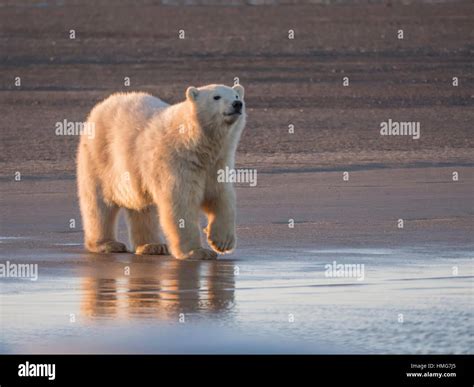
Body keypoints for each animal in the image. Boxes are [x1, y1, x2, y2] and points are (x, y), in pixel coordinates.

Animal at [76, 84, 246, 260]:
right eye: (216, 97)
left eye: (236, 96)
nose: (237, 104)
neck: (194, 144)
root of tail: (102, 105)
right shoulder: (177, 163)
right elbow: (180, 204)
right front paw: (198, 251)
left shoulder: (216, 165)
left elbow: (221, 198)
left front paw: (222, 242)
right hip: (99, 158)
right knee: (98, 204)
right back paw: (107, 244)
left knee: (142, 207)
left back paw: (152, 246)